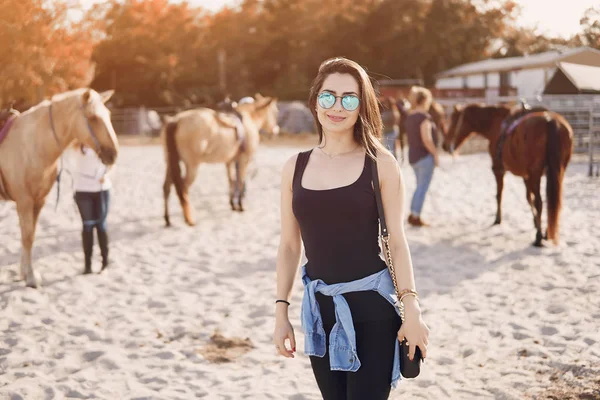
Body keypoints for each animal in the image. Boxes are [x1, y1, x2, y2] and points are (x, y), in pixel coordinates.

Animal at [0, 88, 119, 286]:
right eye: (93, 118)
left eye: (109, 115)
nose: (113, 154)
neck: (32, 145)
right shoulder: (24, 201)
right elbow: (27, 236)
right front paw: (30, 278)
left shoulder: (38, 201)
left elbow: (30, 236)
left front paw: (25, 274)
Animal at [162, 93, 278, 225]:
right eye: (275, 112)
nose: (276, 131)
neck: (249, 119)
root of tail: (175, 121)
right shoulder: (244, 159)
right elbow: (240, 180)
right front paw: (240, 205)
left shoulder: (230, 161)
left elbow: (231, 180)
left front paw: (232, 204)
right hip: (192, 165)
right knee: (183, 188)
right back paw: (189, 219)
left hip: (170, 163)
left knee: (166, 187)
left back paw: (167, 219)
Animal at [442, 102, 576, 247]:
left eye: (453, 120)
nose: (444, 145)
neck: (495, 122)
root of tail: (550, 121)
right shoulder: (526, 175)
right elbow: (529, 198)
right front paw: (535, 223)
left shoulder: (498, 170)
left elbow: (499, 195)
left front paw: (497, 219)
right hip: (557, 173)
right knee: (552, 202)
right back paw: (547, 232)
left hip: (536, 173)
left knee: (540, 202)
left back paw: (538, 238)